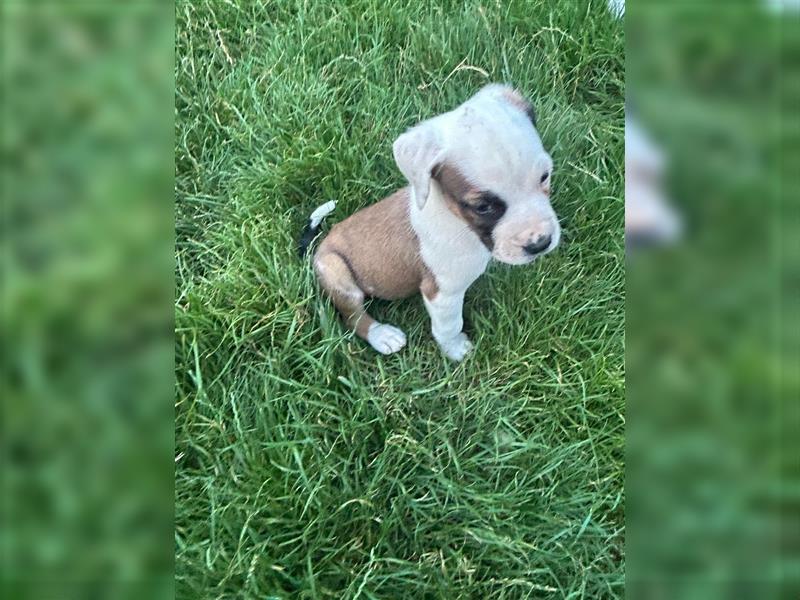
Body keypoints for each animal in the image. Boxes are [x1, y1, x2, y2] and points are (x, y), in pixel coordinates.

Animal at [302, 84, 564, 360]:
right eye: (482, 207)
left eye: (545, 176)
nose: (540, 243)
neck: (459, 223)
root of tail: (319, 246)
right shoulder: (442, 293)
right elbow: (449, 326)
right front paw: (456, 349)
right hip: (336, 271)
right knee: (352, 316)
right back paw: (383, 336)